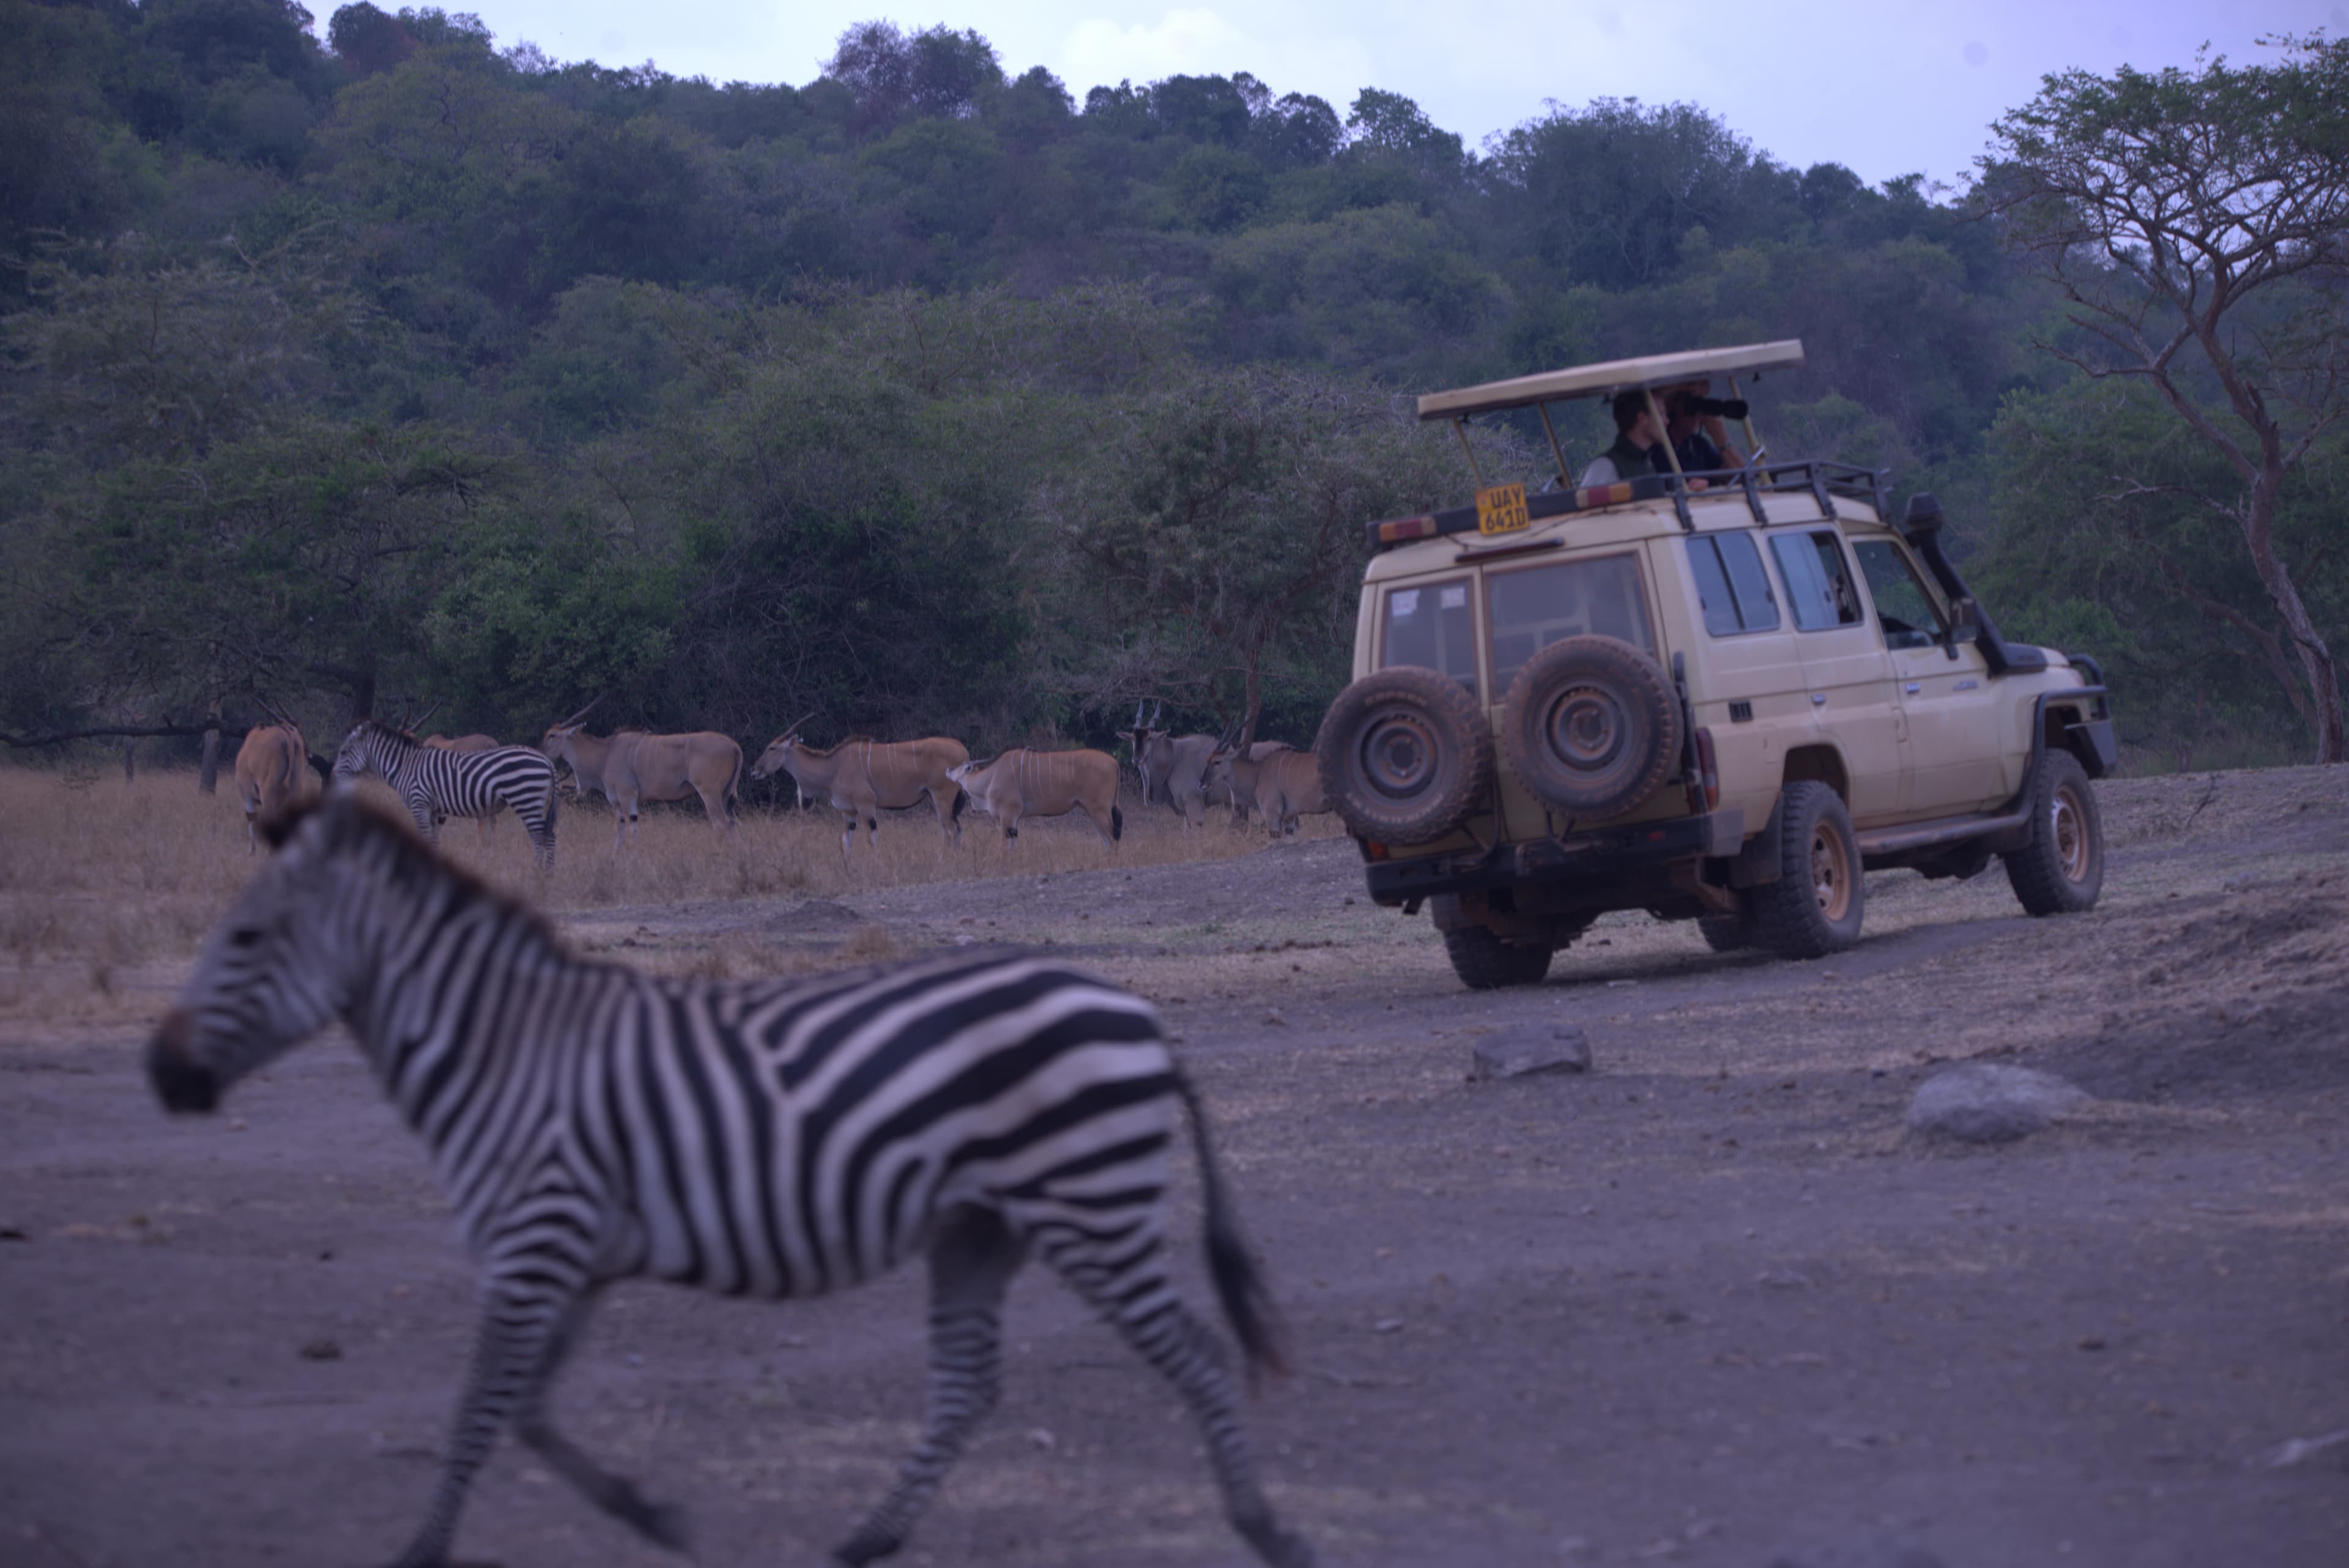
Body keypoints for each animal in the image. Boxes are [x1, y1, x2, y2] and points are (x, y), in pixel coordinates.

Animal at [145, 792, 1313, 1568]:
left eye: (244, 936)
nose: (160, 1072)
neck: (502, 1049)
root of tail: (1136, 1009)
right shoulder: (569, 1255)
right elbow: (526, 1410)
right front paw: (656, 1514)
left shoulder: (534, 1237)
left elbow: (480, 1409)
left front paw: (422, 1551)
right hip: (979, 1223)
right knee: (968, 1384)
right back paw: (861, 1540)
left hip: (1086, 1204)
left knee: (1196, 1353)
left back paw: (1267, 1529)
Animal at [332, 719, 559, 868]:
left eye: (343, 753)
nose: (332, 778)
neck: (406, 765)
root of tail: (547, 761)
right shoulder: (434, 810)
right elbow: (433, 841)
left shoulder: (420, 804)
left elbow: (424, 837)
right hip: (534, 801)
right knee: (549, 834)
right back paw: (546, 875)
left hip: (525, 798)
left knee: (539, 835)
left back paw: (535, 872)